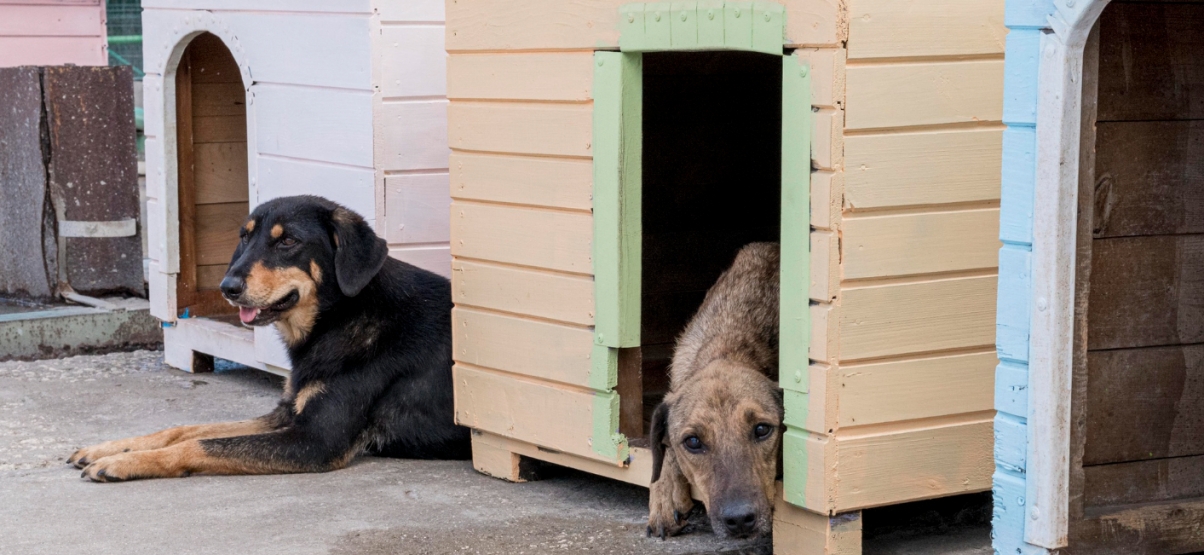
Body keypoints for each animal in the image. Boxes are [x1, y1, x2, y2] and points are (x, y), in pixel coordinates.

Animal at [64, 195, 469, 479]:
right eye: (244, 237)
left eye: (287, 241)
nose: (227, 287)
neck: (341, 315)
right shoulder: (285, 413)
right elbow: (187, 429)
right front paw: (113, 448)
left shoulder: (315, 440)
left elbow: (201, 443)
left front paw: (123, 462)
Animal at [650, 240, 780, 536]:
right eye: (693, 442)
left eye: (762, 429)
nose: (740, 520)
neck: (731, 343)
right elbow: (666, 453)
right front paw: (664, 494)